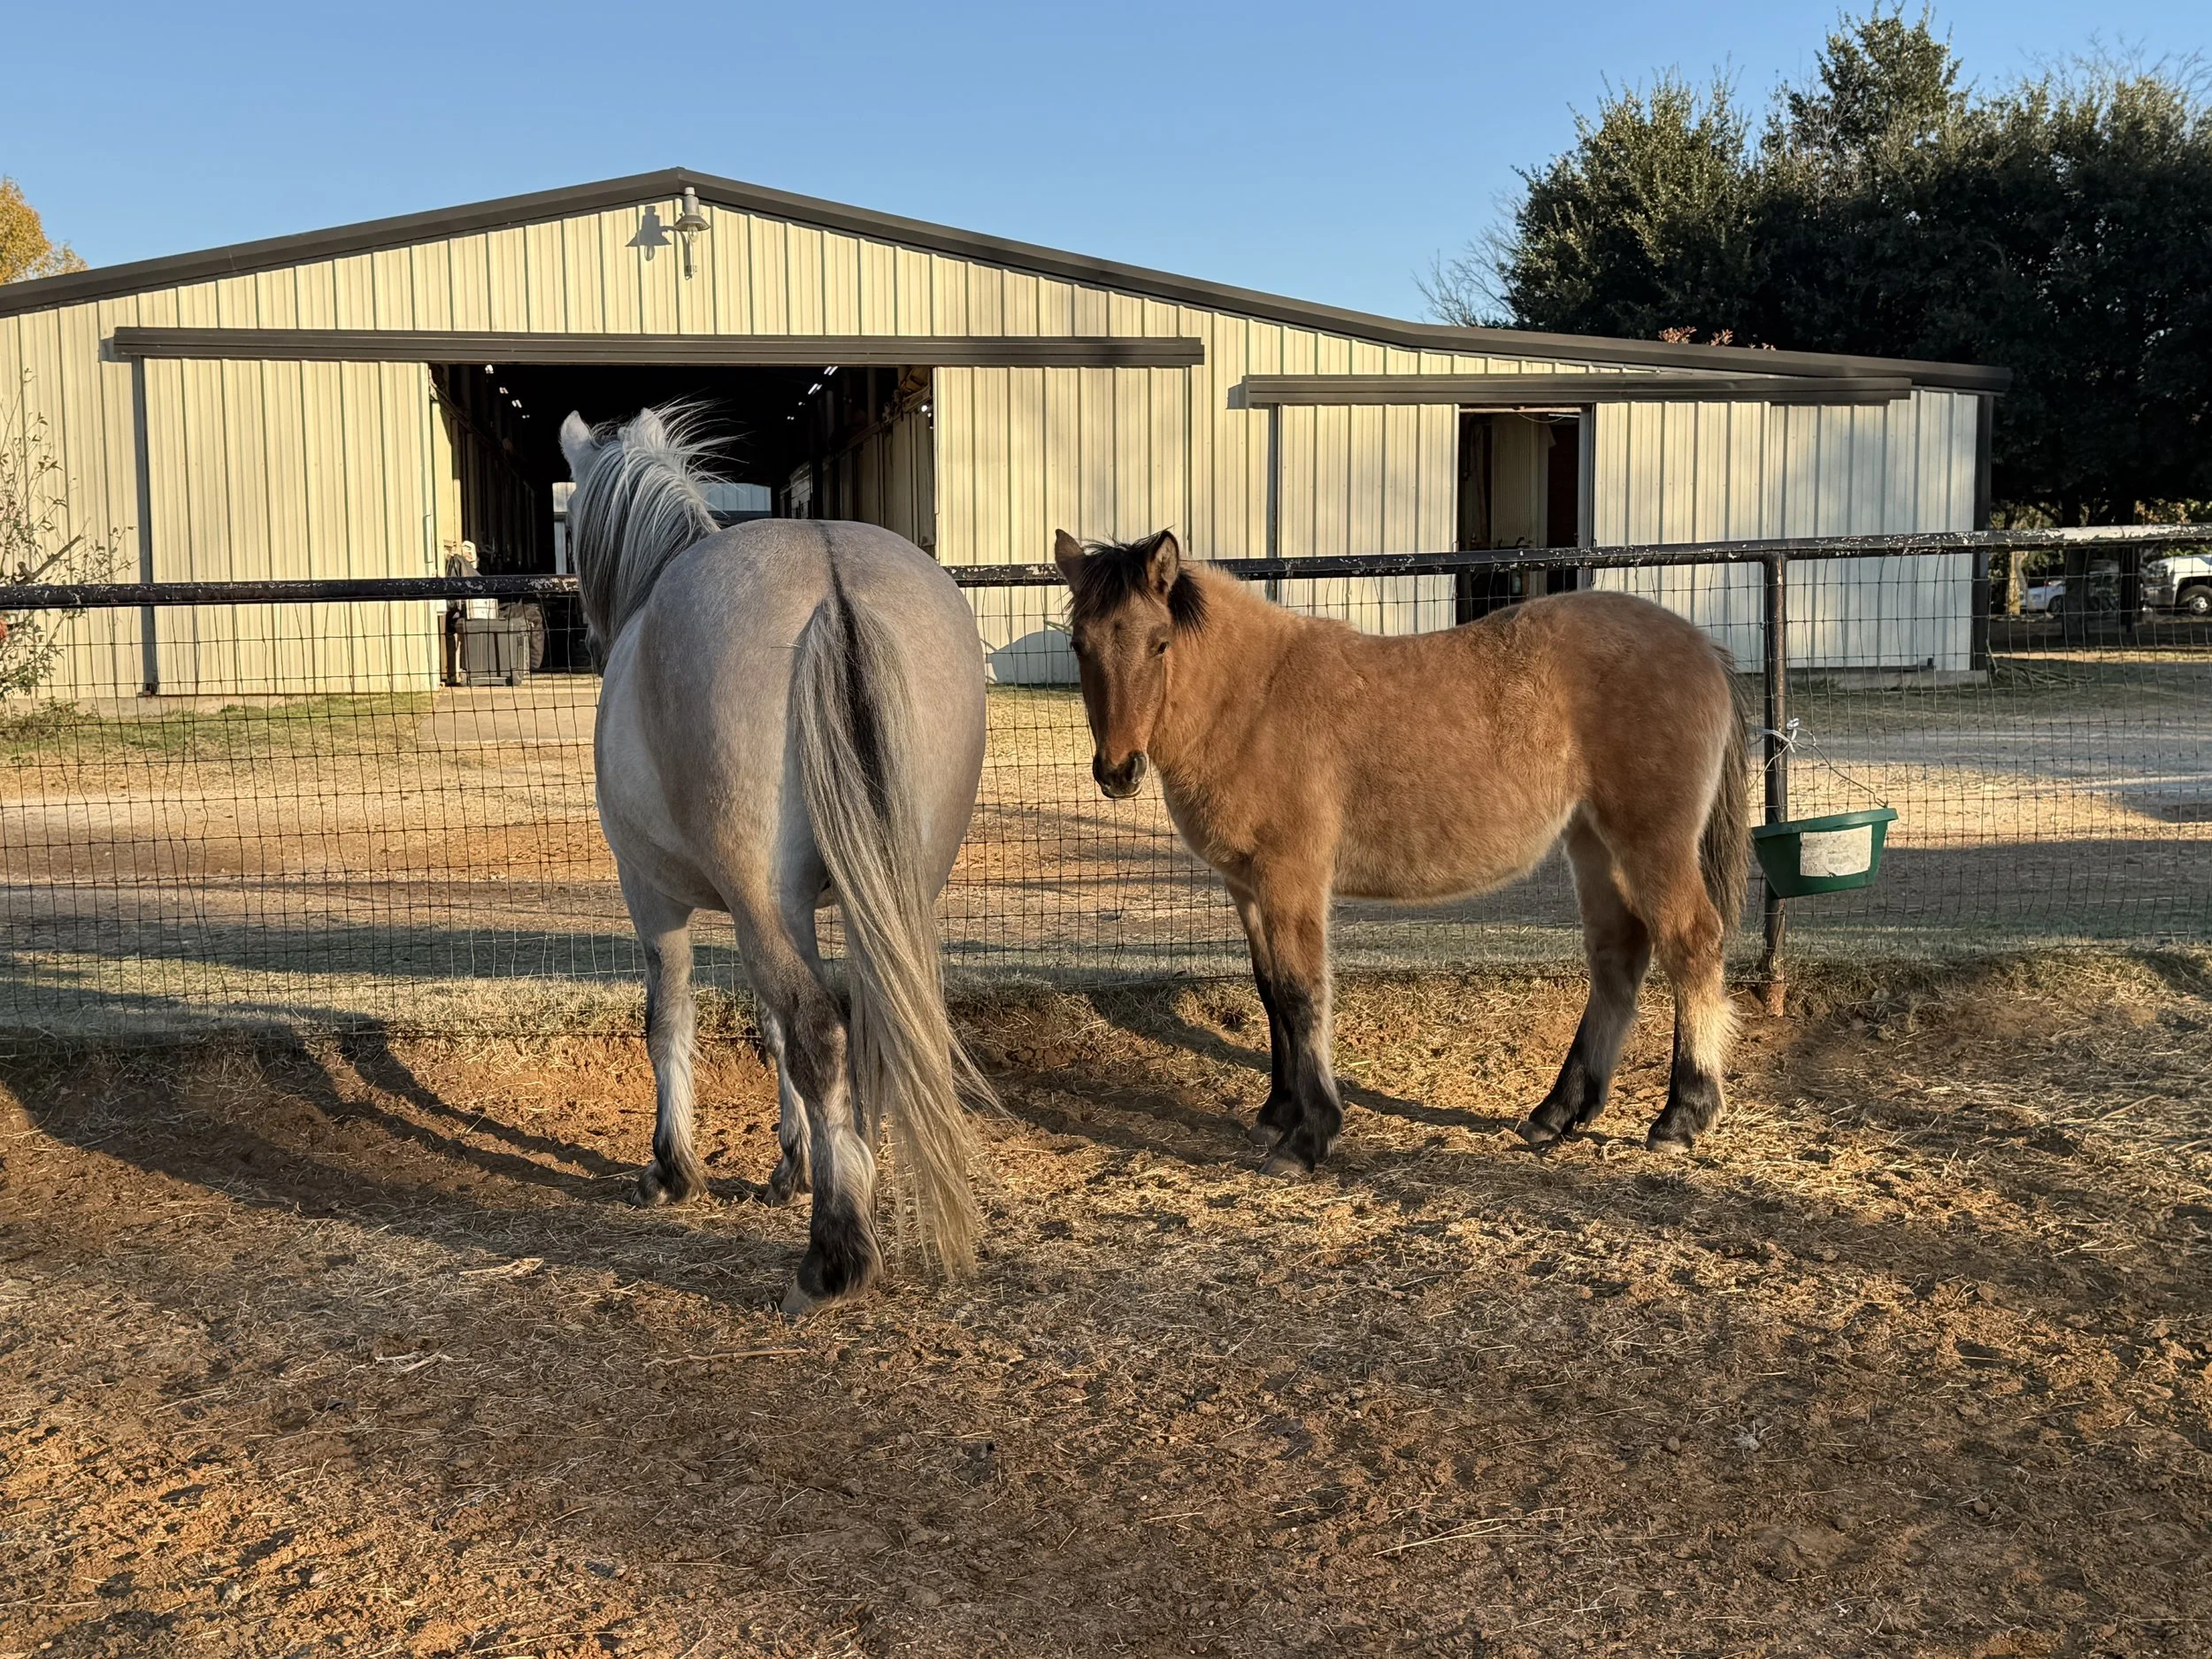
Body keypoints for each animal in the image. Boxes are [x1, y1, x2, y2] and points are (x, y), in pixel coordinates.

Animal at [561, 404, 989, 1313]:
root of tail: (831, 581)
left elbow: (670, 1019)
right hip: (893, 893)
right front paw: (797, 1162)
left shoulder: (657, 898)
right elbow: (772, 1029)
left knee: (823, 1030)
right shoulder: (785, 909)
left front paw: (670, 1169)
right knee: (874, 1024)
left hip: (758, 901)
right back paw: (855, 1184)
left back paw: (834, 1255)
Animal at [1052, 528, 1750, 1174]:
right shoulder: (1245, 885)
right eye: (1079, 644)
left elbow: (1303, 993)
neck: (1255, 700)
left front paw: (1309, 1136)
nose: (1117, 771)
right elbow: (1271, 993)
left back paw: (1682, 1115)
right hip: (1594, 845)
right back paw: (1557, 1113)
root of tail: (1704, 648)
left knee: (1691, 943)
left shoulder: (1291, 878)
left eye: (1159, 642)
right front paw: (1277, 1114)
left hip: (1651, 843)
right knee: (1617, 960)